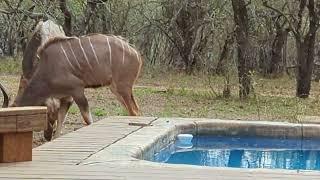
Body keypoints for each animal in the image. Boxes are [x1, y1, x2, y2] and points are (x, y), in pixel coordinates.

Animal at [0, 33, 142, 139]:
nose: (46, 136)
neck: (47, 69)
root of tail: (136, 53)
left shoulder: (77, 90)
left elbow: (88, 120)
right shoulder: (67, 98)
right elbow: (60, 121)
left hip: (123, 88)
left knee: (135, 112)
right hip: (115, 89)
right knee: (132, 111)